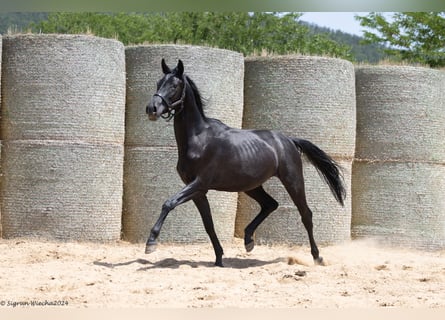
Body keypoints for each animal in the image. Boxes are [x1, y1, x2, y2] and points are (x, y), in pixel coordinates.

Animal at [144, 58, 346, 266]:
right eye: (158, 83)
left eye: (174, 85)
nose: (152, 109)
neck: (199, 139)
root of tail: (289, 140)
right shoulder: (199, 191)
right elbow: (208, 224)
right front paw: (219, 258)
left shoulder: (199, 183)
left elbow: (169, 203)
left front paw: (151, 242)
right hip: (252, 186)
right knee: (270, 204)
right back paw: (248, 240)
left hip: (293, 181)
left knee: (306, 214)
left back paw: (317, 257)